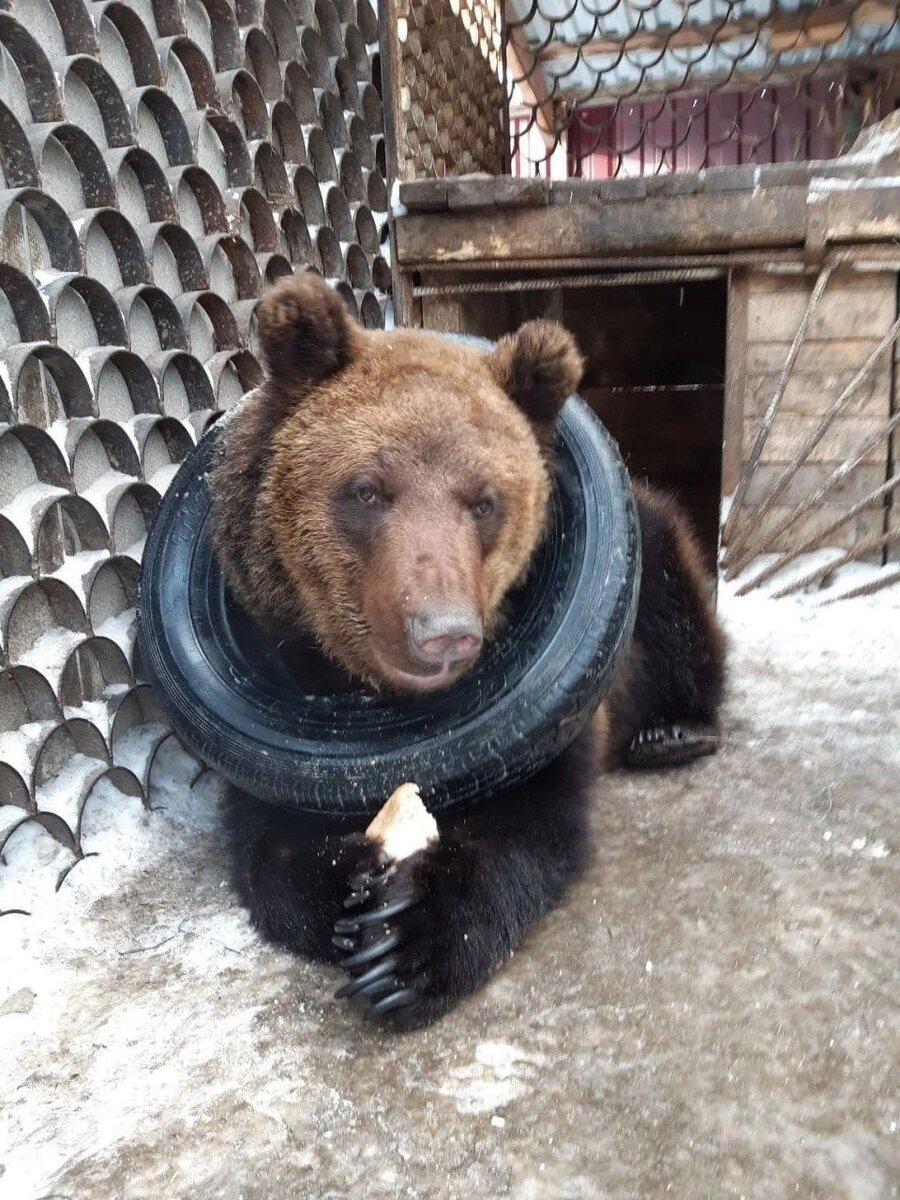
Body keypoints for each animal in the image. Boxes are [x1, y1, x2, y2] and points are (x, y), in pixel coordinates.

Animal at [210, 272, 726, 1032]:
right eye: (366, 490)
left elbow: (533, 821)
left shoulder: (553, 719)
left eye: (484, 501)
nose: (442, 630)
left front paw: (407, 945)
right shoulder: (272, 697)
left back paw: (675, 732)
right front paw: (351, 878)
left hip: (648, 562)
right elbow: (261, 836)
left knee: (679, 610)